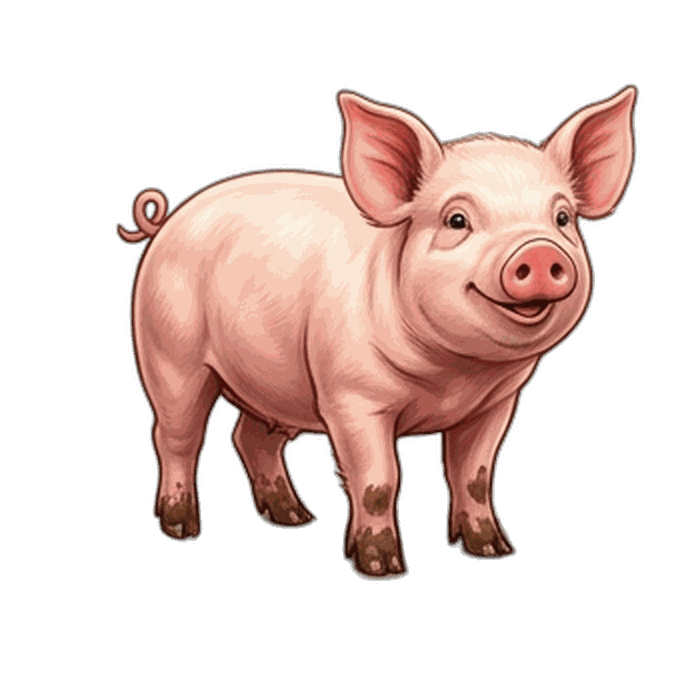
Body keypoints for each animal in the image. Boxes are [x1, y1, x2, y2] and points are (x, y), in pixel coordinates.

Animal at [117, 85, 638, 578]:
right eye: (457, 220)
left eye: (562, 218)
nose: (539, 252)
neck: (454, 375)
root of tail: (165, 221)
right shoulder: (351, 396)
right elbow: (377, 481)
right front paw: (382, 570)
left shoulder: (496, 403)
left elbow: (474, 475)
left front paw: (492, 551)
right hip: (170, 350)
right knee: (176, 435)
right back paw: (181, 528)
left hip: (276, 382)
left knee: (250, 438)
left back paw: (295, 518)